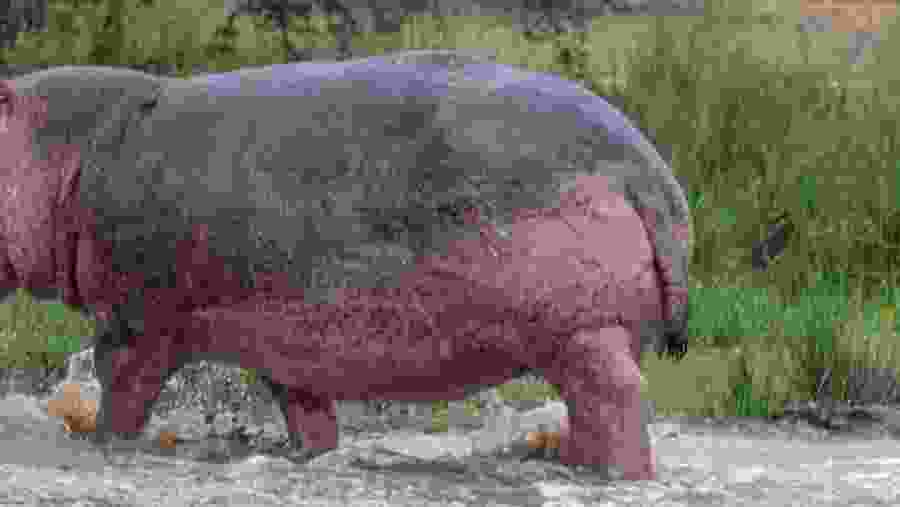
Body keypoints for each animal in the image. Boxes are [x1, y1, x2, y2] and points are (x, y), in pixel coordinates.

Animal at [0, 49, 691, 480]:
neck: (66, 150)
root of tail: (647, 167)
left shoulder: (137, 318)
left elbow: (121, 392)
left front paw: (102, 448)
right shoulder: (282, 339)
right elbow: (305, 412)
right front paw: (311, 458)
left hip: (581, 334)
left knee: (617, 398)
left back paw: (613, 475)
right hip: (588, 336)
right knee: (597, 406)